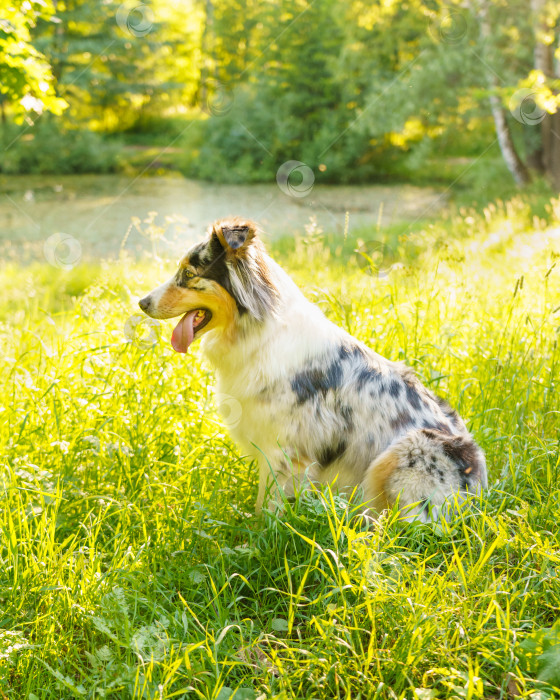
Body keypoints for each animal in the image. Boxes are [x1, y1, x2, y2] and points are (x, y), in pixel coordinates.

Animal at [139, 217, 486, 520]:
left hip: (408, 450)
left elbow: (270, 507)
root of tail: (481, 495)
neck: (257, 331)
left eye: (187, 274)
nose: (141, 303)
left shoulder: (286, 450)